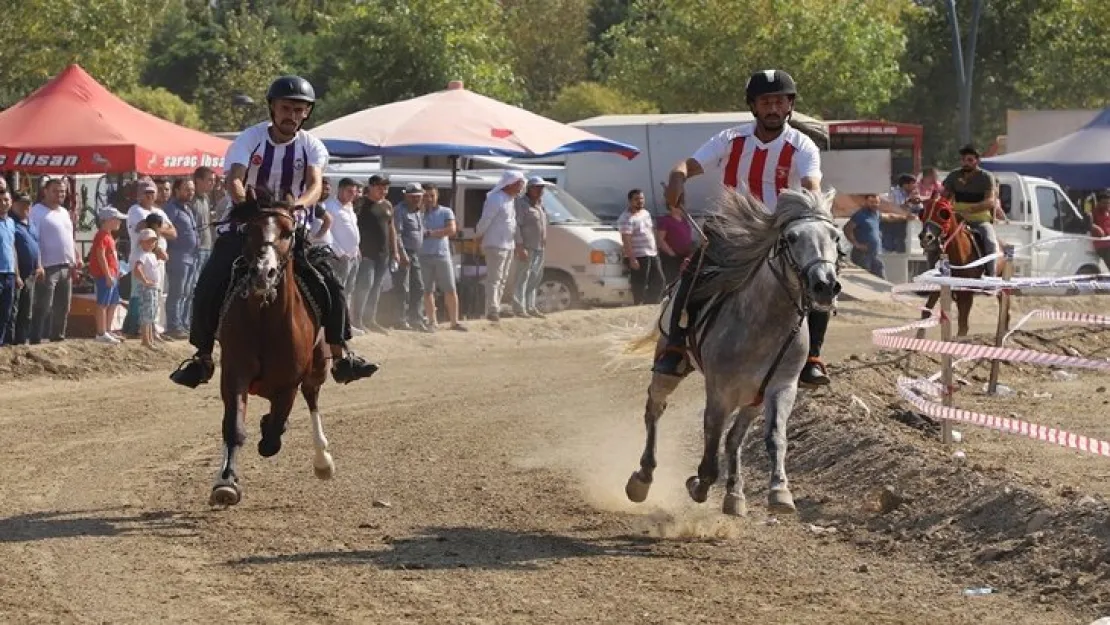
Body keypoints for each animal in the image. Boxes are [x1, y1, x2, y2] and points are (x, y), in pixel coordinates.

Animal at [208, 188, 333, 506]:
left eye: (288, 232)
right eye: (250, 229)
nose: (264, 272)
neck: (266, 318)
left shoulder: (289, 382)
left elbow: (275, 432)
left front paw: (270, 431)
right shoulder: (234, 374)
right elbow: (234, 427)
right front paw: (225, 482)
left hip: (318, 365)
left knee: (312, 398)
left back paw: (322, 460)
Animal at [621, 187, 843, 519]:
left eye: (835, 236)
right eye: (791, 237)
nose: (825, 285)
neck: (763, 324)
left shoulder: (781, 387)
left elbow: (774, 437)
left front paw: (779, 491)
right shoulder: (720, 390)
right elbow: (711, 437)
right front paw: (699, 483)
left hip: (753, 397)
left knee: (734, 438)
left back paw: (735, 494)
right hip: (670, 369)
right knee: (655, 408)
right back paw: (642, 478)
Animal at [914, 199, 985, 337]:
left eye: (944, 213)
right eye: (922, 212)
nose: (926, 237)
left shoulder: (966, 293)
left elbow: (963, 325)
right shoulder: (939, 287)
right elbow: (926, 311)